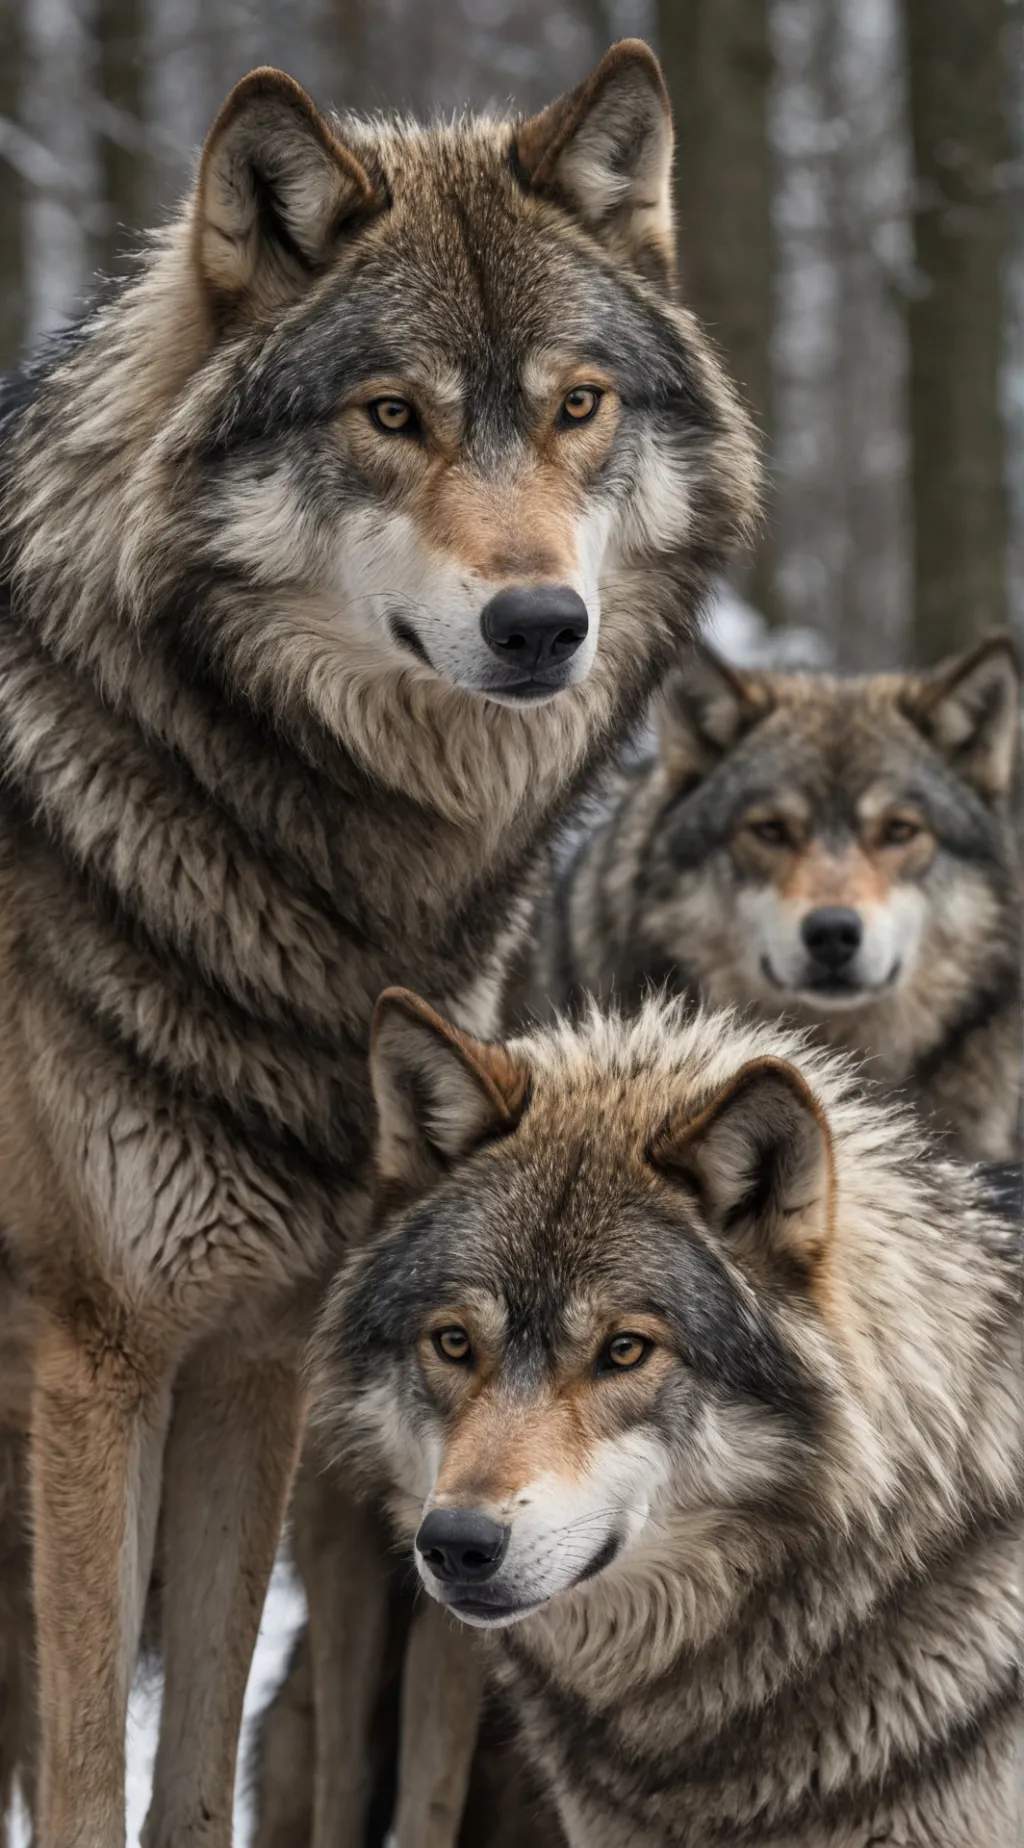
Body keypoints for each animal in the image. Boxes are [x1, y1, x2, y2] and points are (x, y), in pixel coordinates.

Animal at [0, 38, 757, 1848]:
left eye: (574, 403)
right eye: (393, 412)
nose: (540, 624)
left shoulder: (255, 1356)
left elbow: (191, 1767)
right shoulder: (98, 1360)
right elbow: (91, 1776)